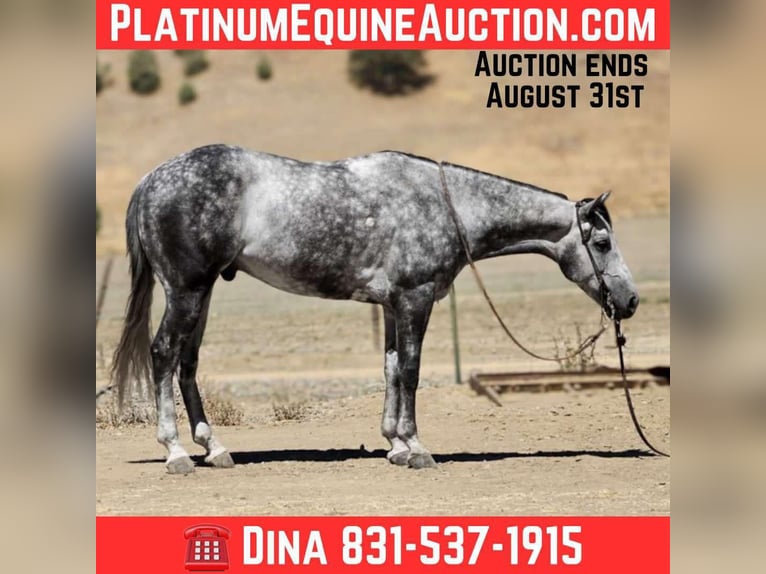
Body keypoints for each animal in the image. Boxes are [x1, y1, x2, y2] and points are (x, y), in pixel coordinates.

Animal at [111, 144, 638, 474]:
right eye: (603, 242)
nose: (630, 301)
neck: (446, 205)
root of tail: (152, 180)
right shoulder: (415, 299)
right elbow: (410, 372)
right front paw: (417, 448)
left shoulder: (390, 306)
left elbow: (390, 370)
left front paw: (395, 446)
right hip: (186, 290)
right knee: (163, 354)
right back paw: (176, 453)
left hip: (201, 295)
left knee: (187, 363)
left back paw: (215, 449)